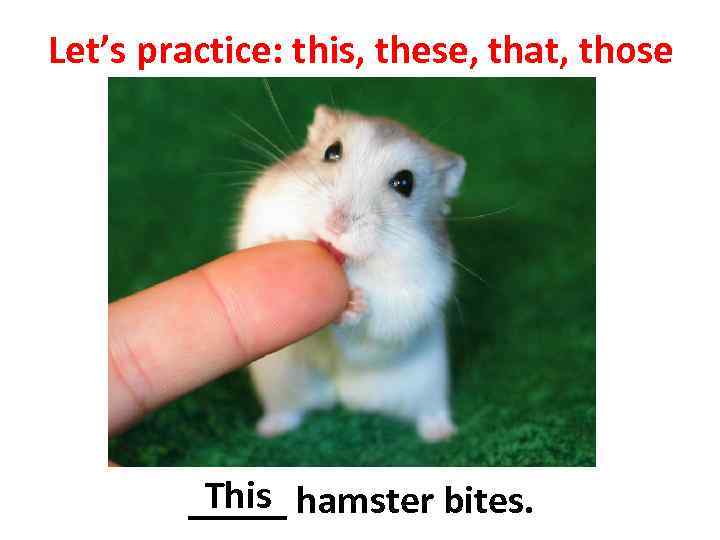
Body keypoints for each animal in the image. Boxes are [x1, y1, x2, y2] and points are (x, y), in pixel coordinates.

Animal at [235, 105, 466, 442]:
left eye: (405, 183)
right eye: (332, 151)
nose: (336, 224)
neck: (350, 265)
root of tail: (342, 395)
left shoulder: (417, 294)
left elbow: (381, 320)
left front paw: (355, 302)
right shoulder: (259, 212)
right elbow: (256, 237)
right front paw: (275, 241)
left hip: (427, 385)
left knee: (429, 412)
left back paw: (442, 433)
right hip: (280, 381)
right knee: (287, 410)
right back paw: (268, 430)